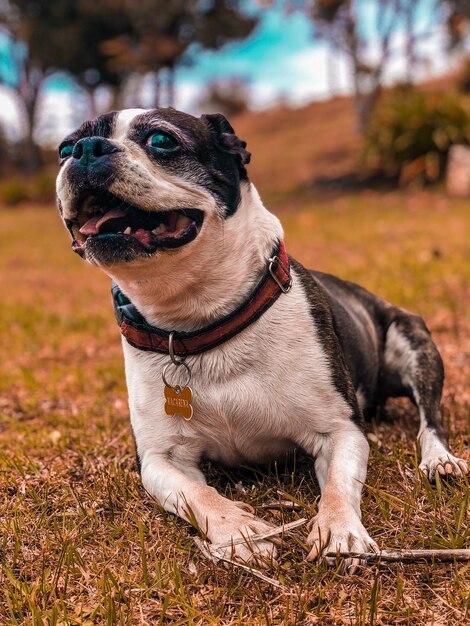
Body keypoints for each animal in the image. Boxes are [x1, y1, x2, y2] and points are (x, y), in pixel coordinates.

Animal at [55, 108, 466, 572]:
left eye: (162, 140)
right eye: (64, 148)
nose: (86, 150)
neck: (201, 323)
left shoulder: (341, 430)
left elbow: (338, 488)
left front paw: (339, 530)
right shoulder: (160, 460)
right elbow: (200, 496)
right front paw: (240, 532)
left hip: (412, 343)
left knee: (430, 417)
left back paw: (439, 461)